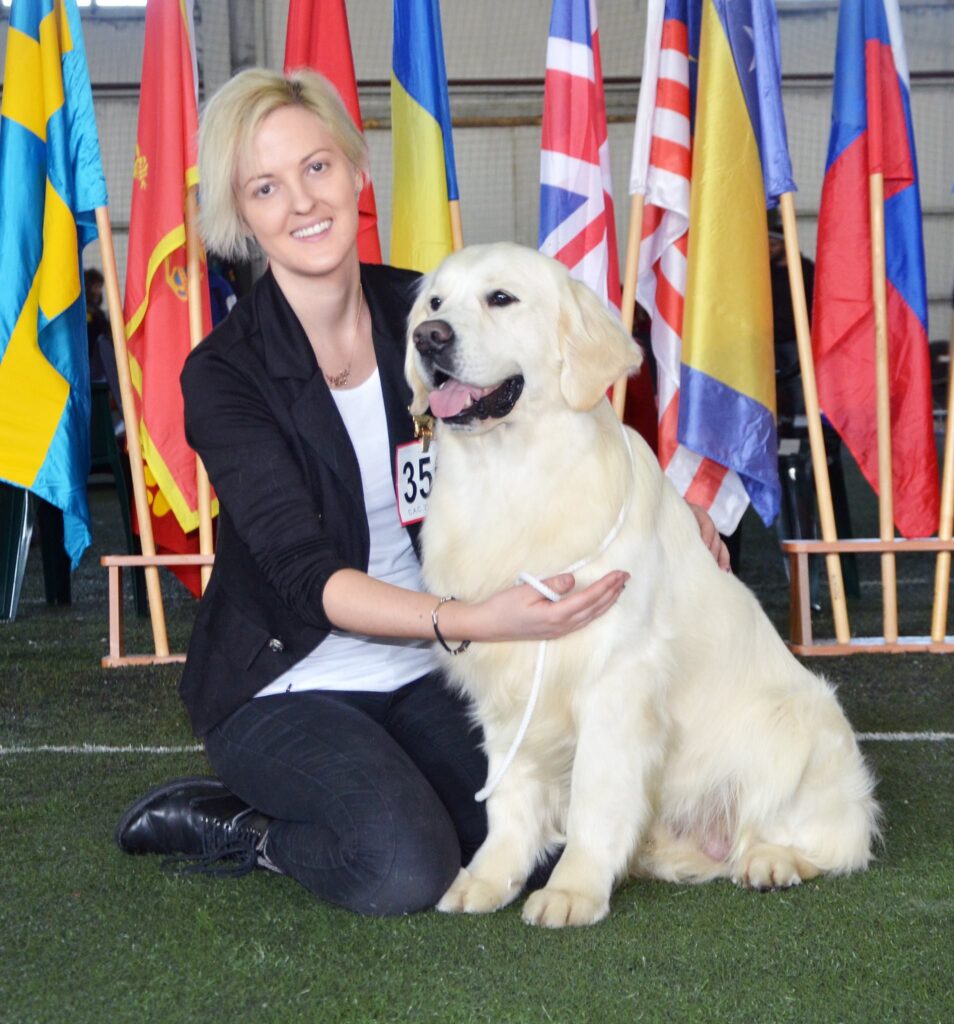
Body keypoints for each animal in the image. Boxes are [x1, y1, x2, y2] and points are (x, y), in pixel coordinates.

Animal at [405, 242, 879, 928]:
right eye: (435, 302)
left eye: (501, 298)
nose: (428, 337)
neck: (513, 476)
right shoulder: (508, 676)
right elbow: (509, 797)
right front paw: (491, 879)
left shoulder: (616, 679)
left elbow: (595, 797)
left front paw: (572, 891)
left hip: (803, 722)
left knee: (830, 840)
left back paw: (773, 860)